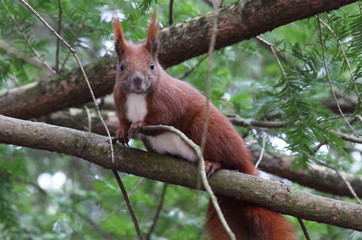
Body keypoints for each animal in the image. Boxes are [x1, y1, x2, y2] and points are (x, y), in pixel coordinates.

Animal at [112, 12, 296, 240]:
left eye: (152, 65)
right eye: (121, 66)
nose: (137, 80)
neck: (137, 97)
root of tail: (244, 161)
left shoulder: (170, 101)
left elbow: (163, 120)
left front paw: (139, 124)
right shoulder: (120, 102)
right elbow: (123, 120)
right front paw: (122, 131)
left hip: (207, 128)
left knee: (227, 160)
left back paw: (214, 164)